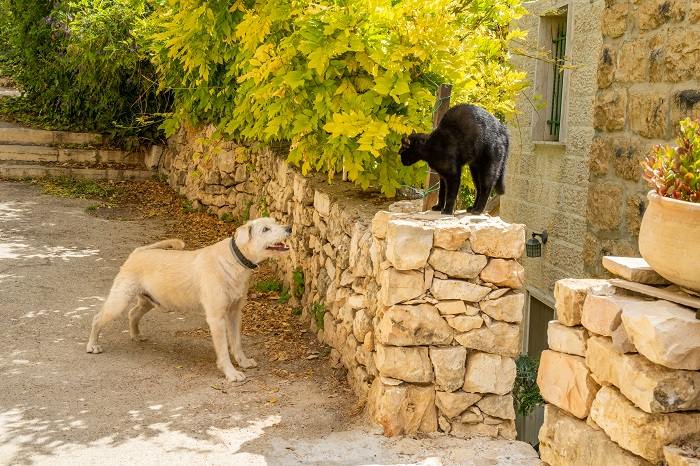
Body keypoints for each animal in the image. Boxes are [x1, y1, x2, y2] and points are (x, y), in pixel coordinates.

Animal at [86, 217, 292, 380]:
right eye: (265, 229)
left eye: (275, 221)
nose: (289, 228)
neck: (233, 259)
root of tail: (138, 252)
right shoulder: (216, 318)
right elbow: (223, 348)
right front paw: (231, 373)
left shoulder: (234, 313)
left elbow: (236, 342)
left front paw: (243, 361)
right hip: (119, 300)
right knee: (97, 318)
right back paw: (93, 345)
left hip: (148, 300)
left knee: (133, 313)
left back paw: (136, 335)